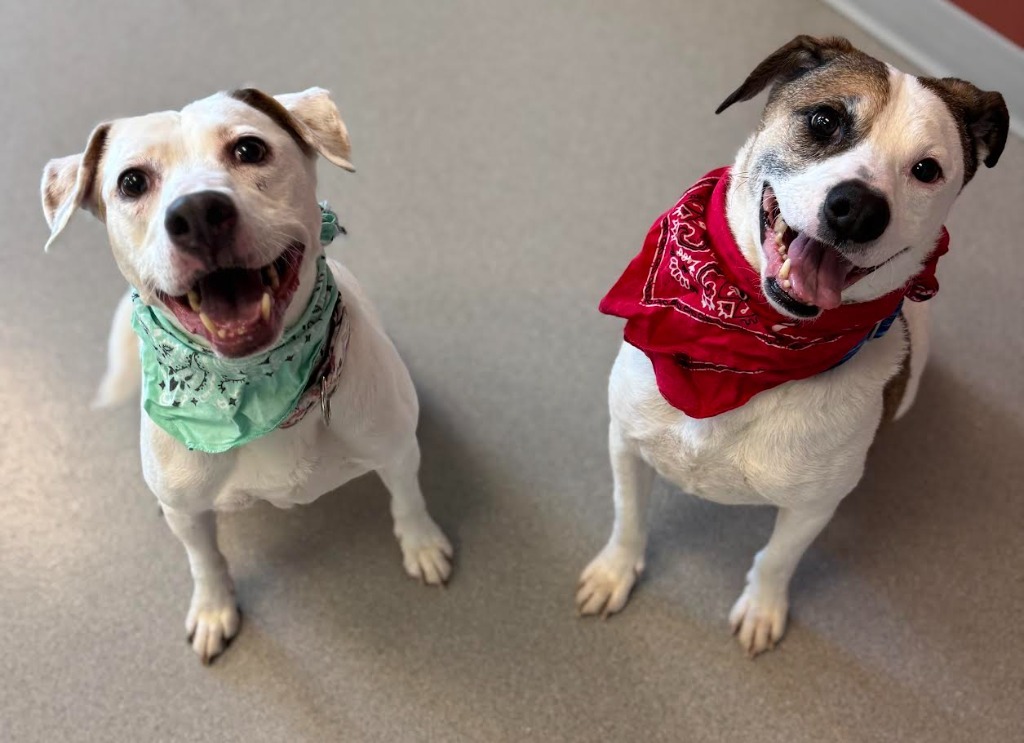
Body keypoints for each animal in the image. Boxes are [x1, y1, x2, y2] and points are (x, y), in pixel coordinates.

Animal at [577, 37, 1007, 659]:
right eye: (824, 120)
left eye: (927, 169)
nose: (859, 207)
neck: (747, 343)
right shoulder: (626, 442)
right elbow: (627, 517)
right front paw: (615, 571)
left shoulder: (811, 506)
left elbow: (776, 560)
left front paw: (762, 608)